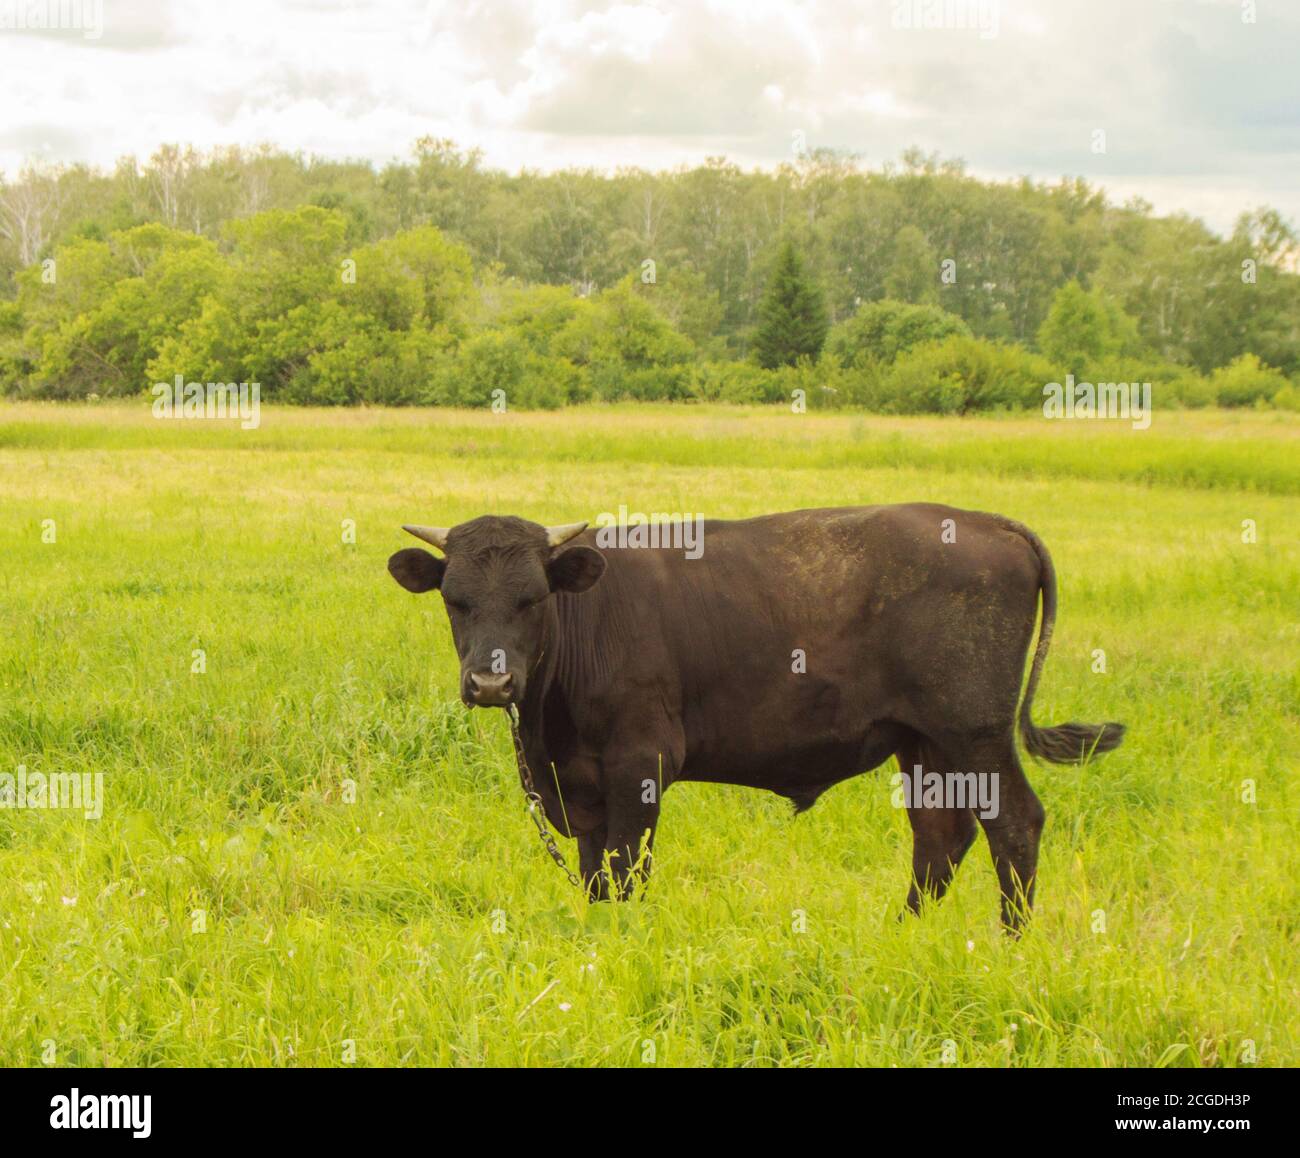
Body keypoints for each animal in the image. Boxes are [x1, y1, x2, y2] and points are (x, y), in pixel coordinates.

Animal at [387, 506, 1124, 933]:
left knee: (1014, 824)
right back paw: (903, 934)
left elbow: (627, 870)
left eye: (533, 597)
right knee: (940, 835)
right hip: (923, 742)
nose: (491, 681)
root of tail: (990, 522)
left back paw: (1010, 940)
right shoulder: (581, 786)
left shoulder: (639, 765)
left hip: (976, 732)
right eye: (455, 599)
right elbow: (598, 877)